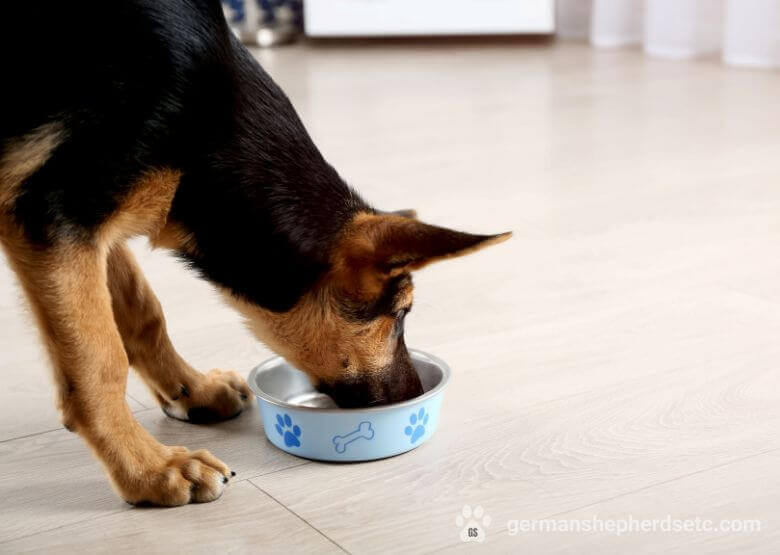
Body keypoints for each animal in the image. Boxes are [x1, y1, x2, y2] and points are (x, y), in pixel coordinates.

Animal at [0, 0, 508, 506]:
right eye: (402, 312)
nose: (414, 398)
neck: (206, 117)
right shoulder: (56, 215)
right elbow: (98, 361)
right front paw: (148, 470)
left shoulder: (92, 219)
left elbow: (141, 312)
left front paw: (189, 390)